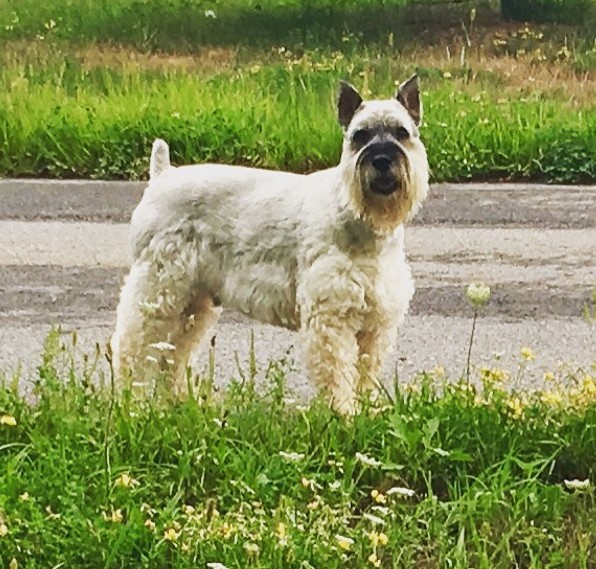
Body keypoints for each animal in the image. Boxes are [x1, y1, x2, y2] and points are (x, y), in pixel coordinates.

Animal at [112, 76, 428, 412]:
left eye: (401, 132)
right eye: (360, 135)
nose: (381, 160)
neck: (360, 219)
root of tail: (162, 175)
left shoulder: (376, 321)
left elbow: (365, 371)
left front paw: (367, 408)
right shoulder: (331, 316)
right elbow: (338, 370)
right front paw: (343, 412)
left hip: (194, 303)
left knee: (172, 354)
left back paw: (180, 402)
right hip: (157, 290)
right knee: (132, 347)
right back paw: (132, 401)